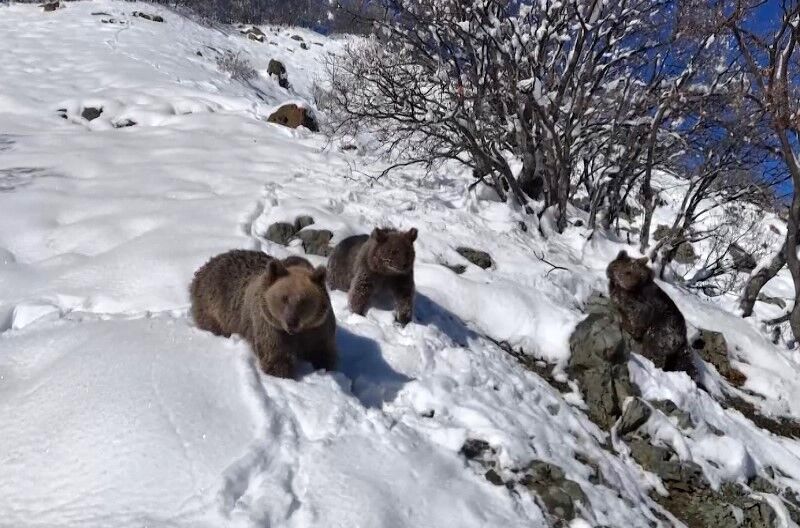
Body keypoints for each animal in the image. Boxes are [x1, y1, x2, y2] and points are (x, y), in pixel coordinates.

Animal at [189, 250, 336, 378]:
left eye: (304, 300)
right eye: (284, 298)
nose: (291, 322)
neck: (298, 333)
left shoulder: (318, 327)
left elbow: (322, 351)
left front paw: (324, 365)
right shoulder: (269, 324)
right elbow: (274, 354)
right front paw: (281, 372)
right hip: (213, 303)